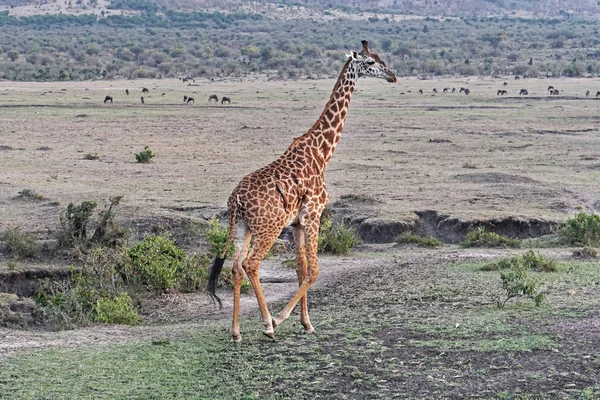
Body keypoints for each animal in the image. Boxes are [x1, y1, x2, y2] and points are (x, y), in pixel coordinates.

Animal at [207, 39, 398, 340]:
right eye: (370, 63)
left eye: (382, 60)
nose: (393, 75)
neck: (321, 153)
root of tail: (235, 199)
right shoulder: (313, 215)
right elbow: (314, 271)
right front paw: (282, 318)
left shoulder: (296, 223)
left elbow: (300, 269)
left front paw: (306, 322)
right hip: (269, 228)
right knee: (251, 264)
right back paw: (267, 323)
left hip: (241, 227)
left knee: (236, 266)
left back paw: (236, 331)